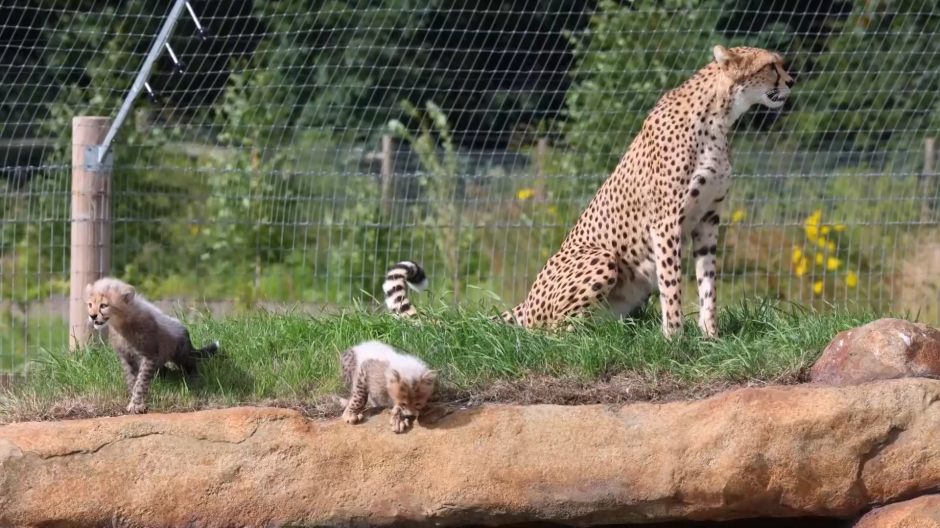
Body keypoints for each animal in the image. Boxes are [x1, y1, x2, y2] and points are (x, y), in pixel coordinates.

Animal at [496, 45, 796, 338]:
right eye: (771, 66)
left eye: (781, 64)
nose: (792, 82)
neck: (719, 118)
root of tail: (527, 303)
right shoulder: (666, 222)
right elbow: (671, 284)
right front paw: (675, 337)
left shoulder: (708, 218)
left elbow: (707, 283)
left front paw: (711, 335)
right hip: (601, 258)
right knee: (547, 333)